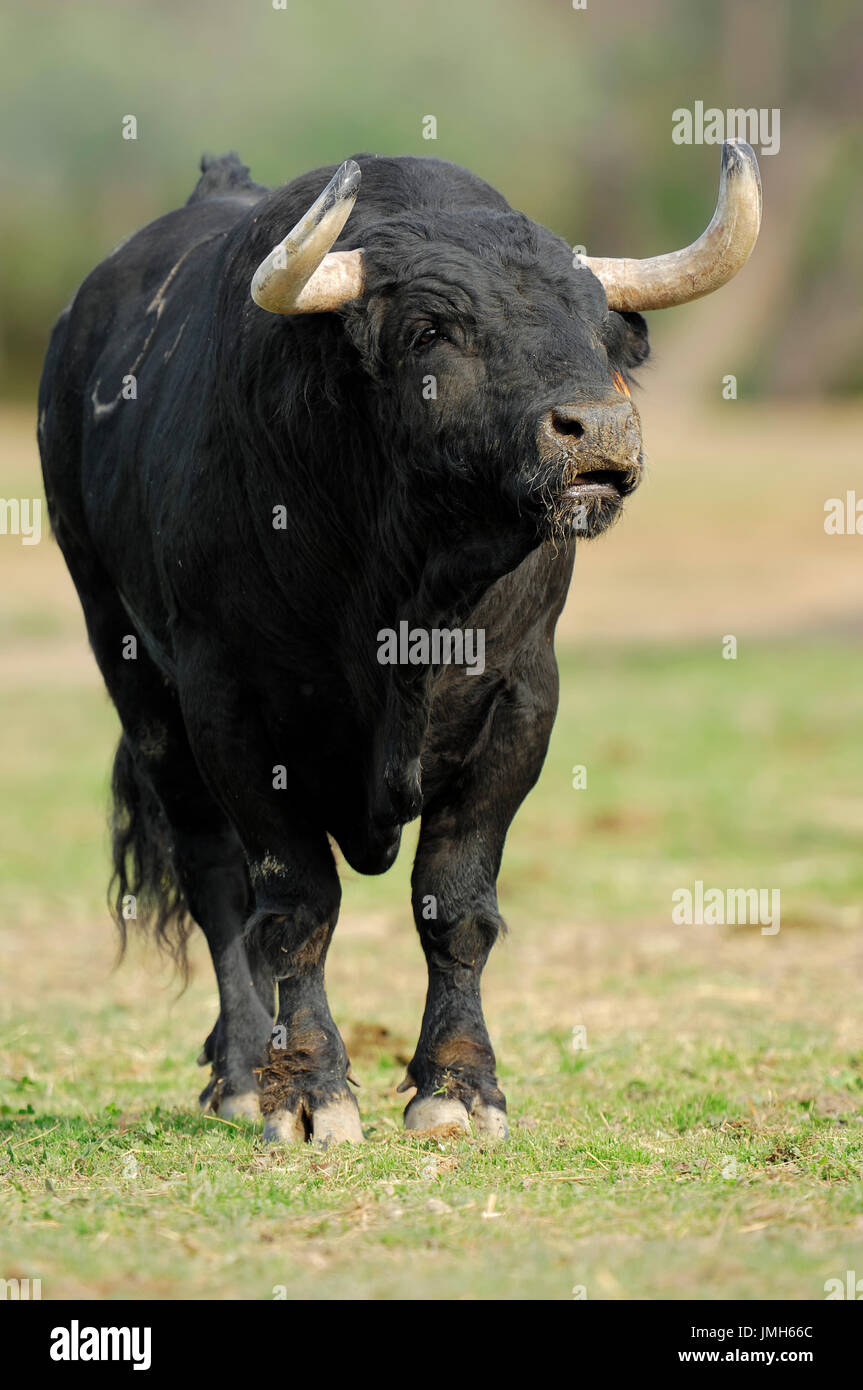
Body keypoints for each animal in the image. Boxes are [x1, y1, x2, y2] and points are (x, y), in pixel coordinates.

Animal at [37, 146, 755, 1145]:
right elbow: (294, 905)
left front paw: (458, 1087)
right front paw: (307, 1091)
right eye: (431, 330)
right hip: (131, 668)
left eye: (595, 327)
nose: (599, 431)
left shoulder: (522, 701)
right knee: (214, 878)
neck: (408, 590)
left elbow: (455, 903)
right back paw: (240, 1069)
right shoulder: (231, 708)